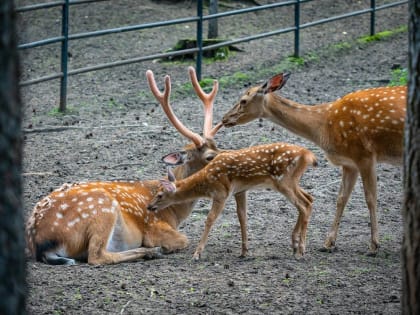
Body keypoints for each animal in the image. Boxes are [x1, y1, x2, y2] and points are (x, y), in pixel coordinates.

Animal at [25, 67, 225, 266]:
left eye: (220, 148)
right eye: (209, 157)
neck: (174, 213)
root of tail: (39, 243)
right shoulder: (154, 227)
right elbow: (184, 239)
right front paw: (160, 248)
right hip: (102, 210)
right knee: (96, 256)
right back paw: (151, 251)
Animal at [221, 72, 406, 256]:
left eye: (243, 100)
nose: (224, 118)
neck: (324, 126)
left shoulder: (365, 155)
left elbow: (371, 198)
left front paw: (374, 245)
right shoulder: (349, 162)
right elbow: (341, 198)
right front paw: (328, 243)